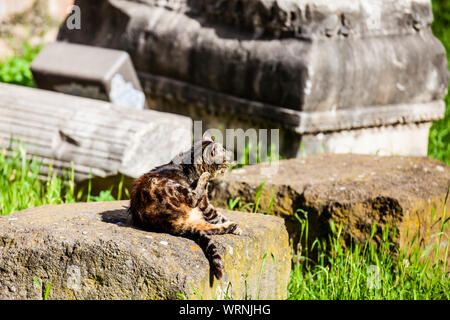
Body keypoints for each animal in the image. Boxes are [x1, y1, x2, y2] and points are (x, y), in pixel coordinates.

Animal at [127, 131, 243, 278]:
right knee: (194, 199)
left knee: (209, 229)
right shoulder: (205, 203)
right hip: (170, 186)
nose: (231, 160)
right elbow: (217, 215)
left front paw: (236, 228)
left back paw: (232, 226)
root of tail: (166, 223)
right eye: (225, 159)